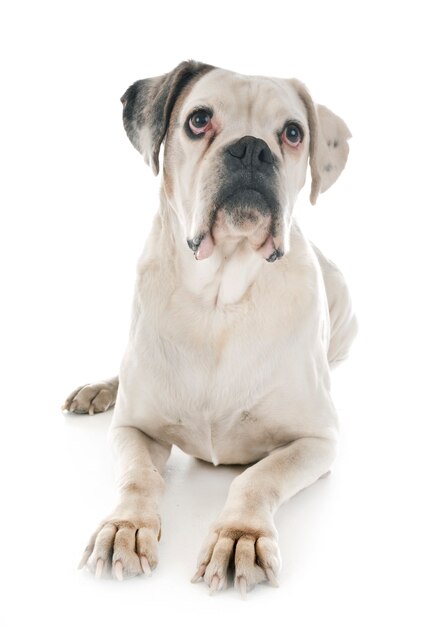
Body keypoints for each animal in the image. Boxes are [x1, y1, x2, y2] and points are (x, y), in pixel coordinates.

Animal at [62, 59, 358, 596]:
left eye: (293, 133)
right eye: (198, 120)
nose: (252, 148)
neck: (219, 300)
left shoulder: (317, 441)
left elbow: (257, 477)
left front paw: (241, 536)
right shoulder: (132, 428)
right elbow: (139, 476)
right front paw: (125, 526)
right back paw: (98, 389)